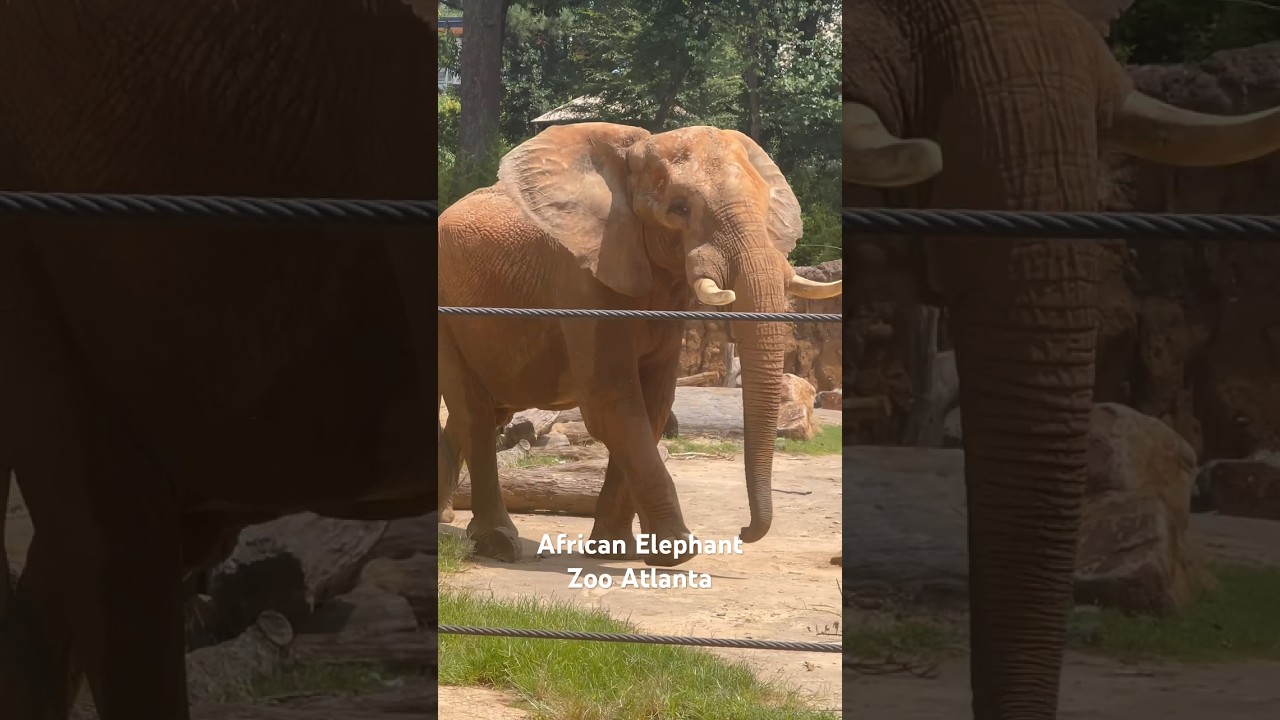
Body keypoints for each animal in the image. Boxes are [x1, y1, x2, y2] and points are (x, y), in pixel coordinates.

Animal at [436, 122, 843, 566]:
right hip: (447, 313)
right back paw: (497, 543)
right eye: (679, 208)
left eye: (766, 207)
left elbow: (653, 403)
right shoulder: (583, 279)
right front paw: (679, 551)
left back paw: (444, 520)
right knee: (474, 415)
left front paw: (617, 551)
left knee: (481, 414)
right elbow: (611, 401)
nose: (744, 531)